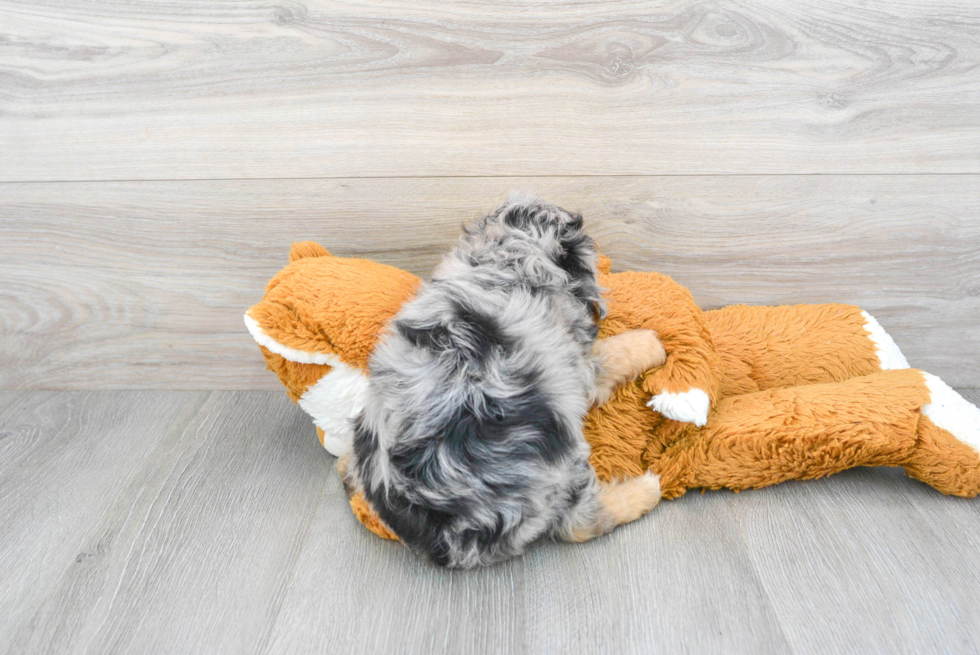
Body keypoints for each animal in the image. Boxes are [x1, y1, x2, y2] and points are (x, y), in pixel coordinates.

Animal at [348, 196, 668, 568]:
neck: (504, 259)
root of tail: (436, 533)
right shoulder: (575, 364)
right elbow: (615, 353)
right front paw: (652, 343)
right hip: (559, 465)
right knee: (580, 523)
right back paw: (646, 489)